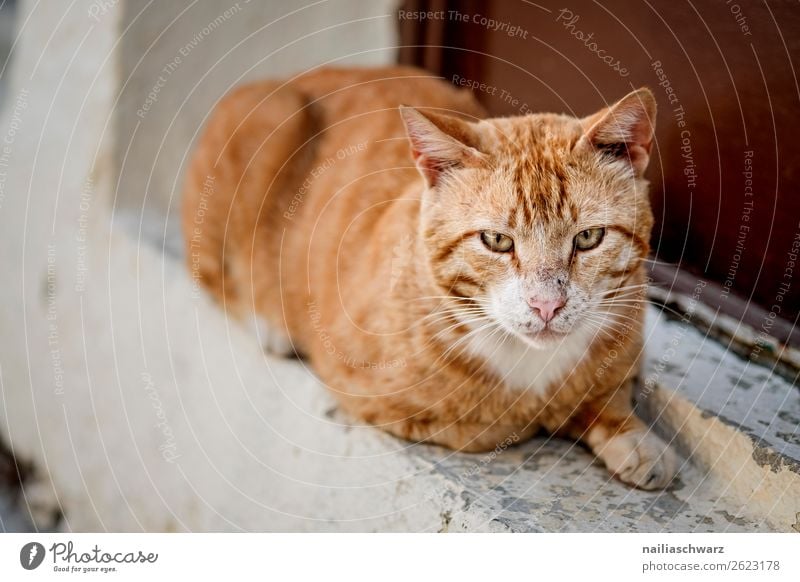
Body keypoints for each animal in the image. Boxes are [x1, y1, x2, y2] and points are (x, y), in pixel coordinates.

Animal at [184, 66, 680, 490]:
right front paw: (540, 415)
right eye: (497, 240)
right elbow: (488, 423)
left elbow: (610, 392)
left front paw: (632, 436)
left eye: (589, 238)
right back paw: (270, 326)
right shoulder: (364, 390)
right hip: (266, 133)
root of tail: (290, 76)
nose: (546, 305)